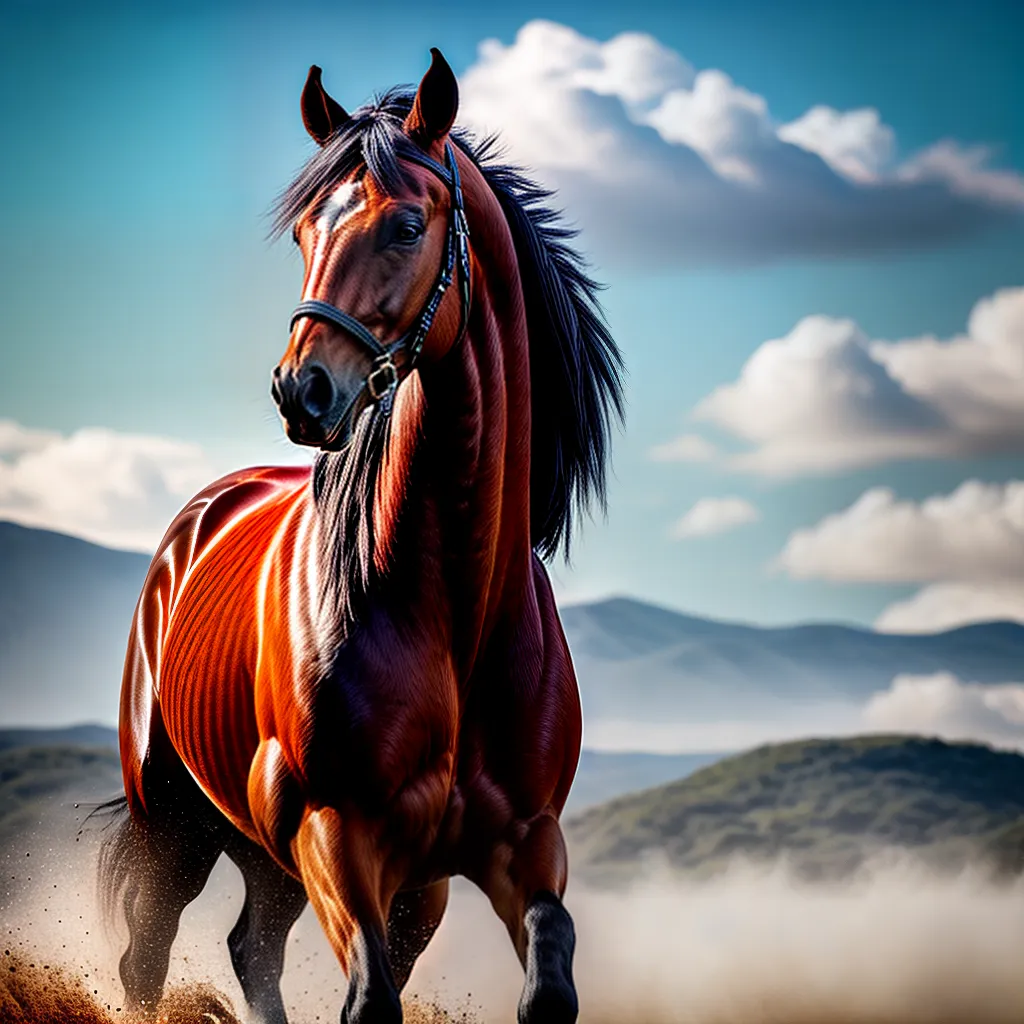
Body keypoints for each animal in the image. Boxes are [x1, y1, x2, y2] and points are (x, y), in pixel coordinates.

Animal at [99, 49, 623, 1024]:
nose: (300, 390)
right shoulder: (337, 832)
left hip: (311, 869)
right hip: (176, 829)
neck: (455, 614)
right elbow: (369, 1000)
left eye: (408, 224)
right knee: (145, 963)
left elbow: (549, 983)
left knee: (253, 949)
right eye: (308, 230)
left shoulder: (513, 849)